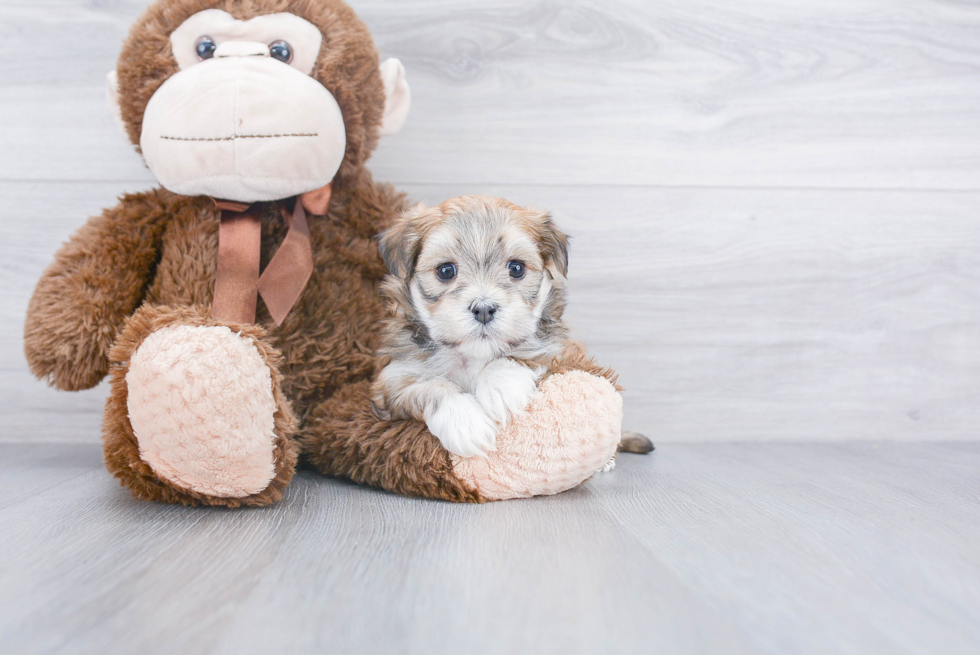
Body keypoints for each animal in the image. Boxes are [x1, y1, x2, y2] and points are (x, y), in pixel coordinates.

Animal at [376, 197, 576, 458]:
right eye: (445, 270)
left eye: (516, 268)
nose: (483, 309)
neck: (472, 355)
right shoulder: (393, 377)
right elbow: (430, 386)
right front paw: (465, 422)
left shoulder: (559, 351)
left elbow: (523, 354)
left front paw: (502, 387)